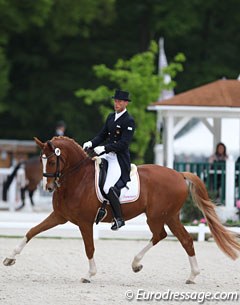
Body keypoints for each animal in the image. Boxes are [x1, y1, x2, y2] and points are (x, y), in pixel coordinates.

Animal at [2, 136, 240, 282]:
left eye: (51, 161)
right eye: (41, 160)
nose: (48, 187)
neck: (77, 178)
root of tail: (179, 174)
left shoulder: (85, 222)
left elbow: (89, 248)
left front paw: (89, 274)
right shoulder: (59, 216)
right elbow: (32, 231)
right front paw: (10, 258)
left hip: (157, 216)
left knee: (163, 235)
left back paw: (141, 265)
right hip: (170, 216)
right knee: (183, 239)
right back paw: (188, 275)